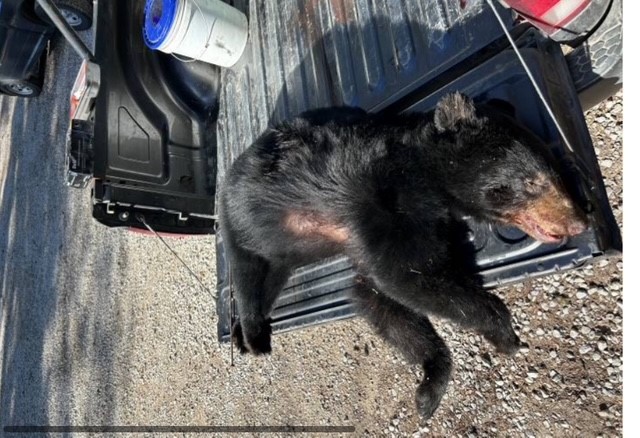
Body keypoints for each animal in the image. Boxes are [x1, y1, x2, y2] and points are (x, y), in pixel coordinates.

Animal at [219, 92, 588, 419]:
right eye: (532, 181)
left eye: (556, 173)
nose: (580, 221)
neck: (422, 172)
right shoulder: (384, 202)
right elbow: (405, 276)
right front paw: (507, 337)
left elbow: (378, 295)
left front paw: (429, 387)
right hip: (240, 220)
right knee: (248, 274)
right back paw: (254, 335)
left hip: (284, 249)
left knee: (271, 280)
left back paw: (241, 333)